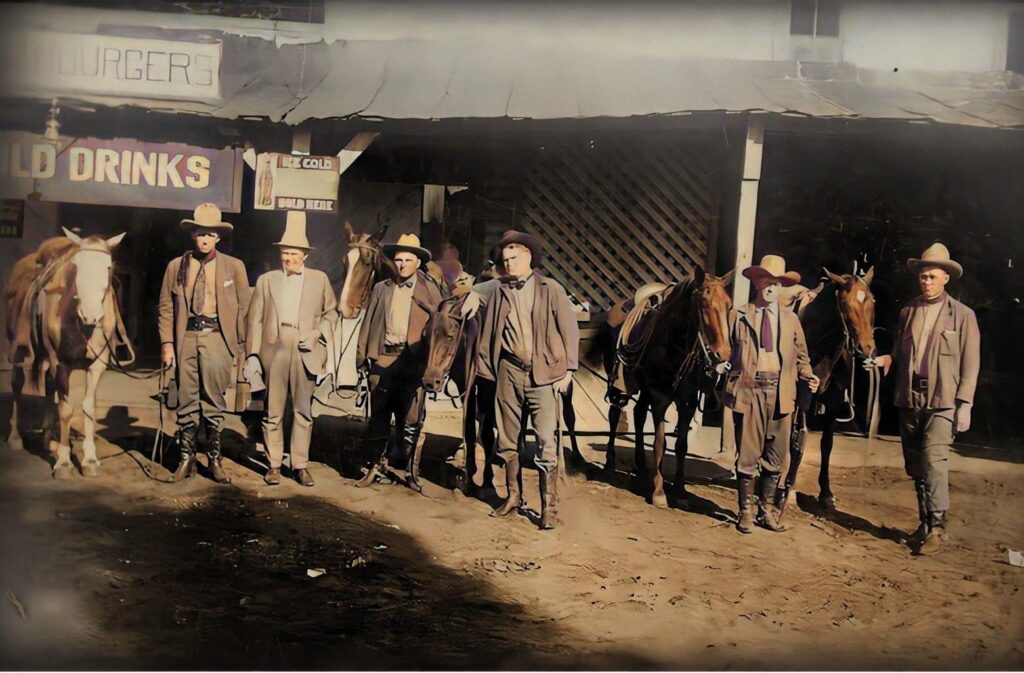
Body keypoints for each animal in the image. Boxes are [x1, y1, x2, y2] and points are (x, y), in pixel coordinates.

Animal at [4, 228, 129, 475]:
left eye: (108, 268)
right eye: (76, 266)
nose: (91, 315)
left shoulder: (96, 365)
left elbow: (88, 408)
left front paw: (89, 460)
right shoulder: (60, 363)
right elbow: (65, 409)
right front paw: (63, 462)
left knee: (48, 386)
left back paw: (49, 439)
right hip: (19, 348)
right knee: (17, 383)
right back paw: (16, 438)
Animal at [598, 264, 737, 506]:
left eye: (728, 305)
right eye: (703, 304)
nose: (723, 355)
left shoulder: (687, 401)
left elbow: (681, 446)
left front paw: (680, 490)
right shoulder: (660, 399)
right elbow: (660, 443)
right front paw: (659, 492)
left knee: (638, 414)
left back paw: (641, 466)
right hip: (619, 385)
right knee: (615, 414)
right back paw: (609, 463)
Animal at [774, 264, 880, 512]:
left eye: (872, 300)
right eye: (845, 304)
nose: (866, 349)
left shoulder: (833, 400)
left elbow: (827, 444)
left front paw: (826, 493)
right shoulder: (800, 397)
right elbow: (795, 442)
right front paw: (786, 491)